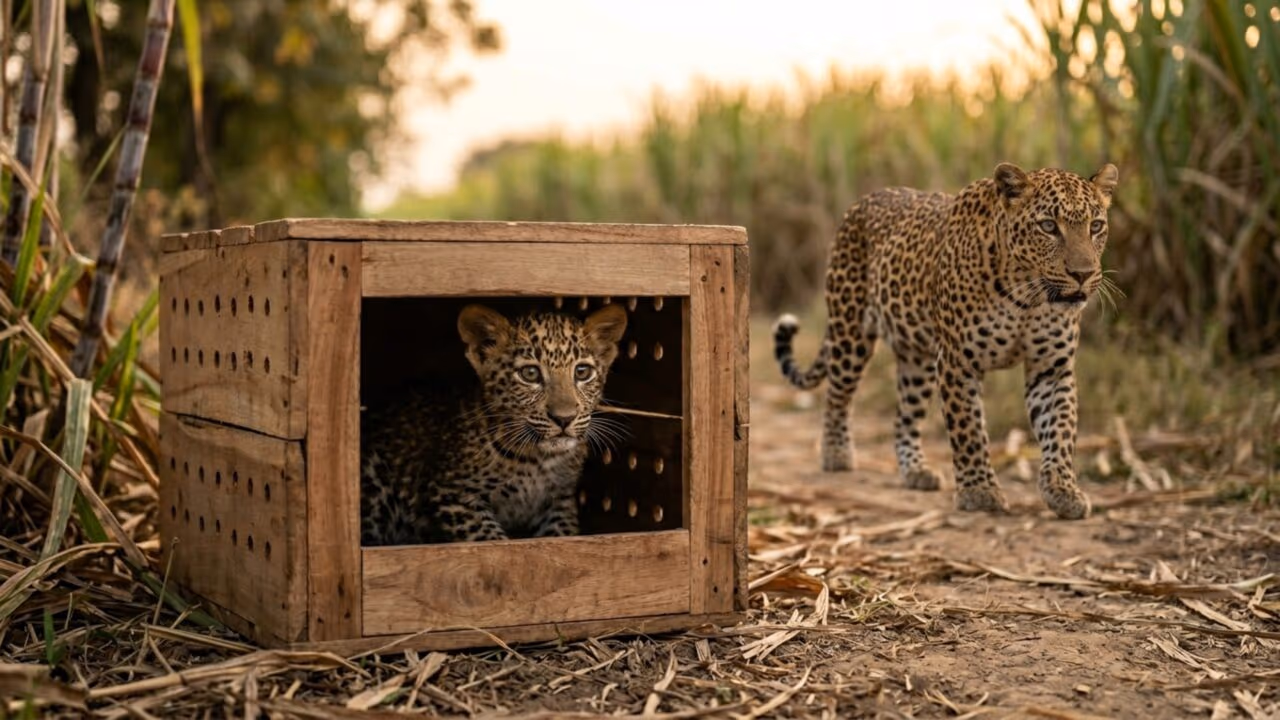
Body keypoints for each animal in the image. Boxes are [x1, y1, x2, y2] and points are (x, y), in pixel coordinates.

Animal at [360, 303, 628, 544]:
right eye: (530, 374)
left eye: (582, 372)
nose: (564, 418)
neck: (538, 461)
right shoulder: (454, 496)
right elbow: (489, 540)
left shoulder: (560, 501)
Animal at [773, 162, 1119, 520]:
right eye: (1049, 226)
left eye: (1095, 226)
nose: (1082, 274)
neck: (1028, 296)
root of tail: (863, 201)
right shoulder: (958, 363)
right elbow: (969, 431)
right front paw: (979, 492)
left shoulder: (1052, 367)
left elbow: (1060, 430)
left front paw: (1062, 491)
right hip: (850, 332)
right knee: (837, 395)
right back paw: (836, 454)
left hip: (917, 360)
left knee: (904, 417)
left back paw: (915, 470)